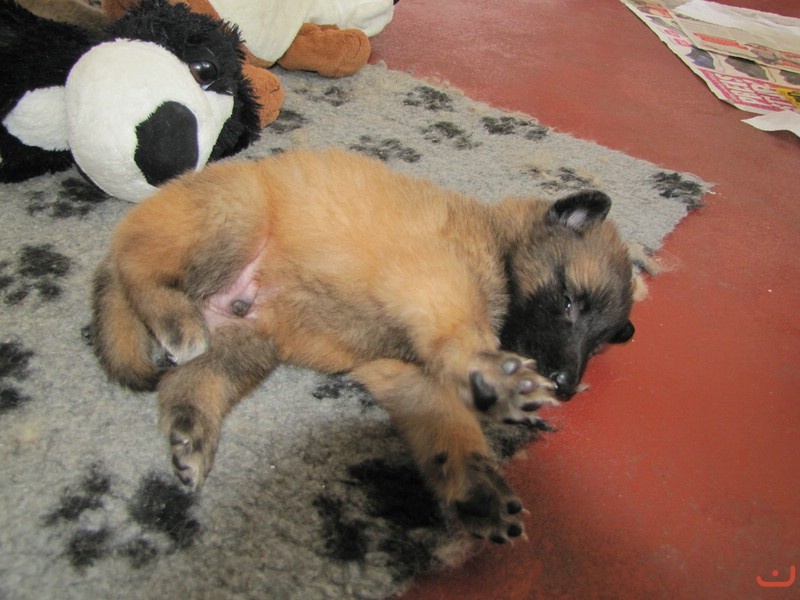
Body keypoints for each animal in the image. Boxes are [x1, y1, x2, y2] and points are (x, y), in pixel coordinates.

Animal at [91, 148, 635, 543]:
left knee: (189, 384)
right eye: (567, 301)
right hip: (232, 217)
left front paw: (475, 486)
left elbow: (449, 425)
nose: (565, 386)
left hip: (244, 343)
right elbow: (464, 335)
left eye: (600, 343)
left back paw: (191, 435)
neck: (497, 243)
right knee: (136, 268)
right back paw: (173, 317)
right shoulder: (437, 281)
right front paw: (496, 375)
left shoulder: (406, 373)